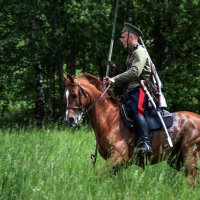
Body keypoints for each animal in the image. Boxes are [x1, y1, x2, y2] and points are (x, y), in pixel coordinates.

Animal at [63, 72, 200, 185]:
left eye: (74, 95)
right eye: (66, 96)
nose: (70, 119)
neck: (110, 119)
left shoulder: (118, 158)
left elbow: (97, 176)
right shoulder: (116, 166)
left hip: (189, 156)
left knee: (191, 180)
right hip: (175, 159)